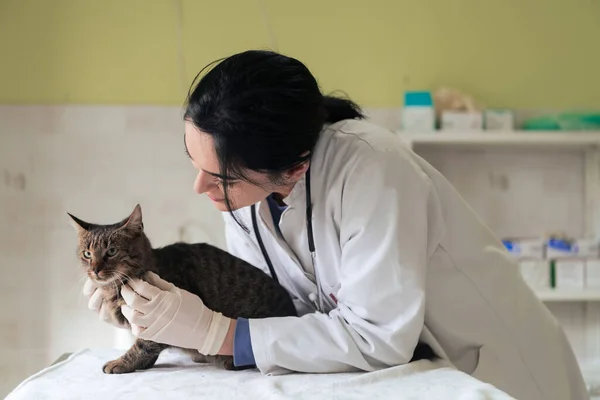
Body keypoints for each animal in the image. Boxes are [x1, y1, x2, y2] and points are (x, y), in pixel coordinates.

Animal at [70, 205, 298, 374]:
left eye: (112, 251)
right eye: (87, 254)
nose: (95, 270)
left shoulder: (153, 322)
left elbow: (144, 345)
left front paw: (122, 362)